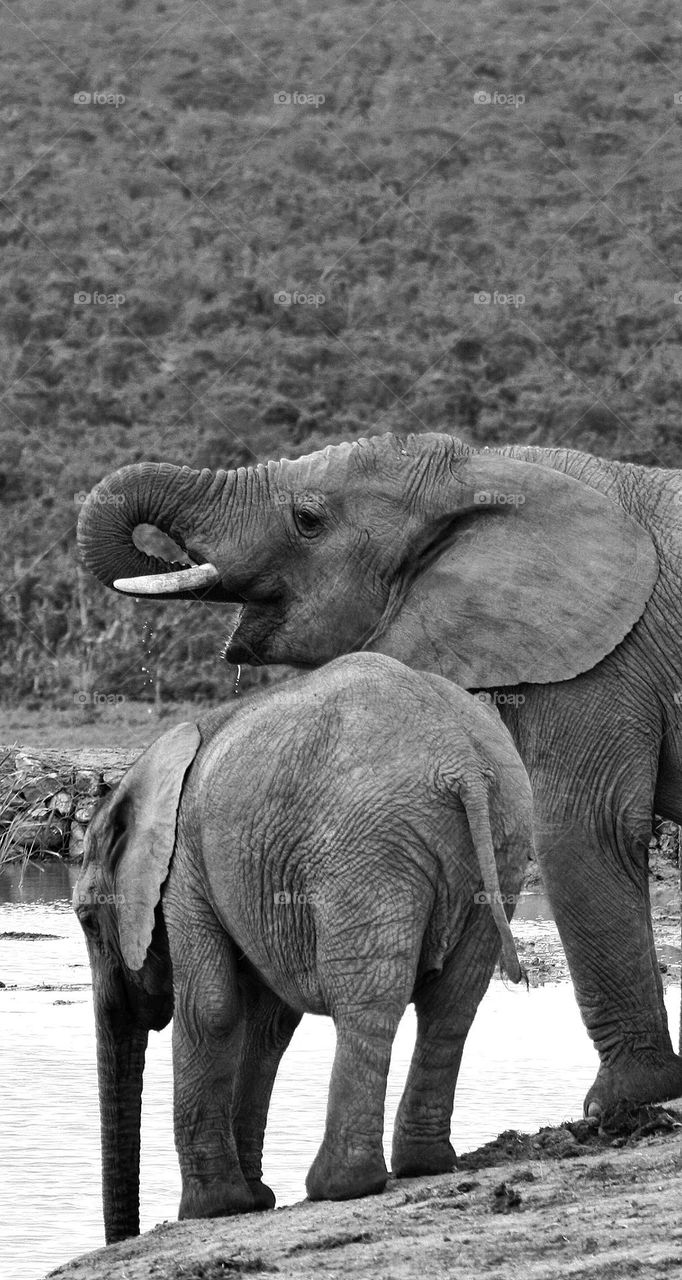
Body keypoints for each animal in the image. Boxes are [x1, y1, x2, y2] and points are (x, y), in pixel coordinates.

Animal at [74, 650, 532, 1239]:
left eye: (87, 921)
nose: (128, 1235)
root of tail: (464, 763)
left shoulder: (184, 869)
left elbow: (211, 1009)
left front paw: (212, 1209)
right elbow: (268, 1024)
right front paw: (254, 1199)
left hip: (367, 850)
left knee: (367, 1001)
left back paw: (340, 1185)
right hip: (504, 840)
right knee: (452, 1004)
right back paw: (425, 1165)